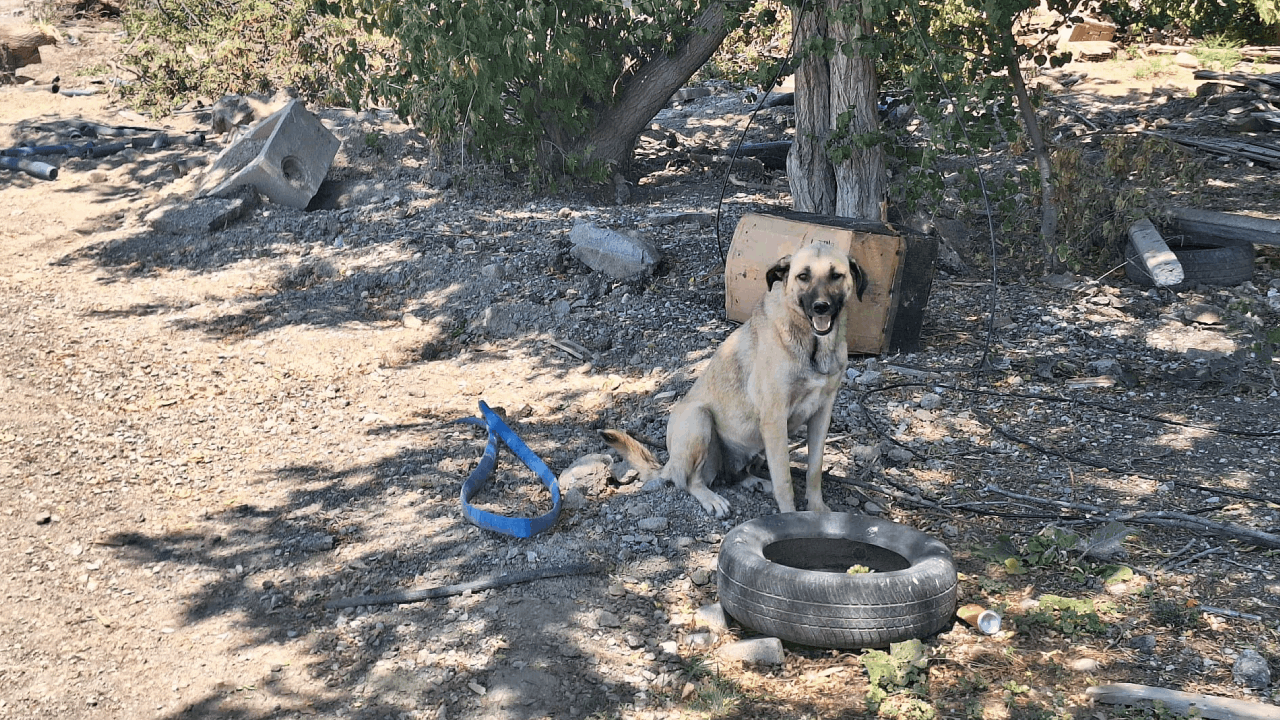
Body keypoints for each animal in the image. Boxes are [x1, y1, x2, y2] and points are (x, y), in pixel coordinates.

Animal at [601, 240, 870, 515]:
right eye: (803, 276)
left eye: (836, 275)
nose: (820, 307)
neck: (814, 347)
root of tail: (669, 464)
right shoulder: (775, 419)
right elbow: (784, 480)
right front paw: (789, 516)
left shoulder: (821, 415)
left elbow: (814, 470)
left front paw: (817, 510)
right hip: (698, 420)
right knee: (691, 481)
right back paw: (711, 499)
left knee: (733, 475)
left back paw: (756, 482)